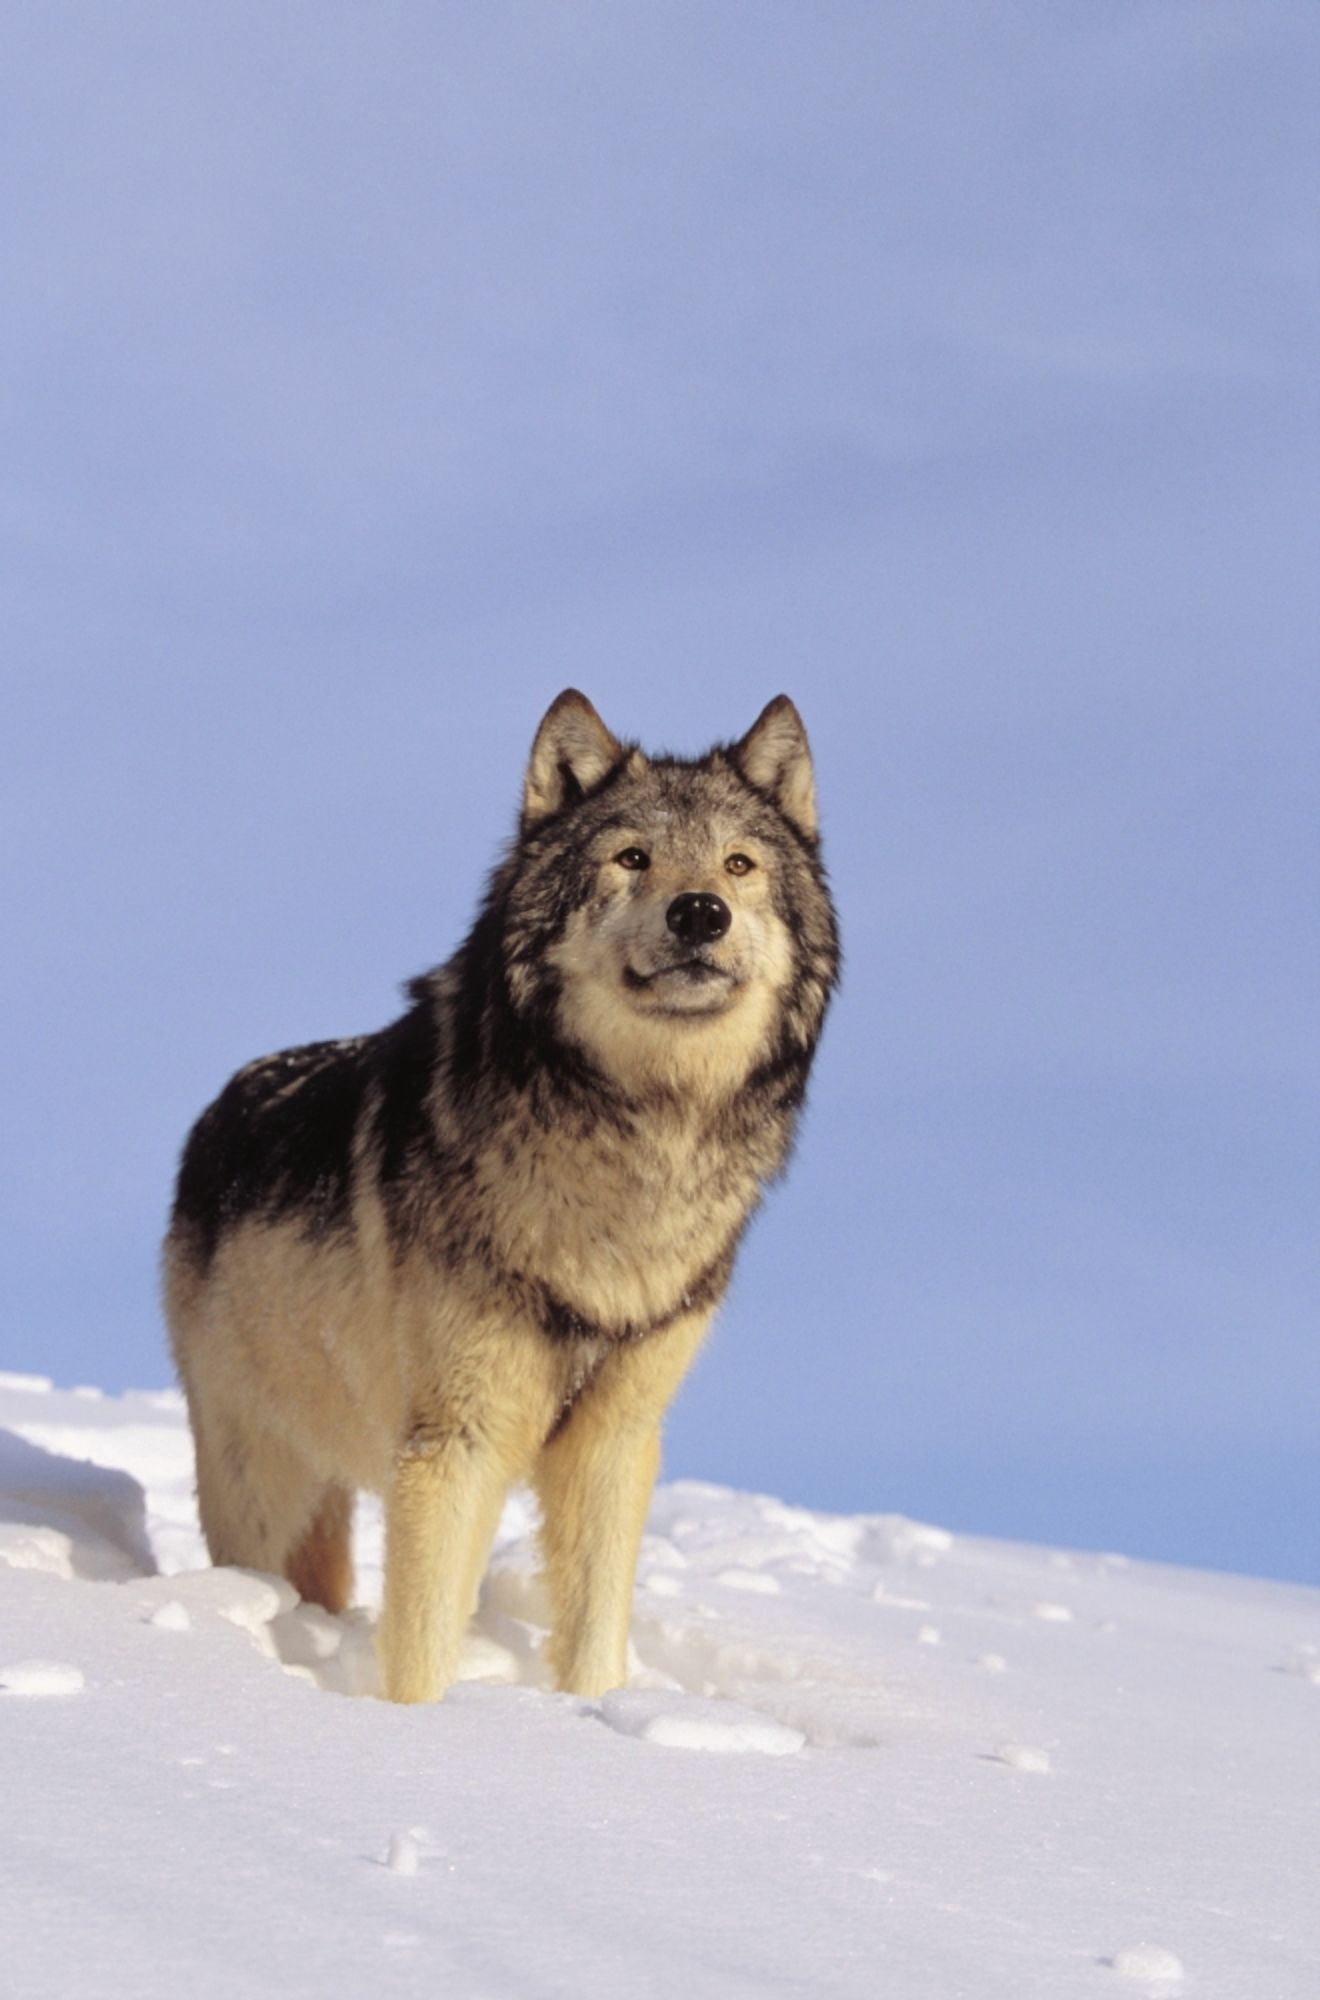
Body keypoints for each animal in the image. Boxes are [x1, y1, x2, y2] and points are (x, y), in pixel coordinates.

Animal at [163, 691, 838, 1703]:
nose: (700, 913)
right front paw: (422, 1729)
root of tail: (222, 1107)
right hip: (262, 1486)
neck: (636, 1141)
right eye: (631, 858)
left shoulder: (616, 1443)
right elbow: (420, 1644)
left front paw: (592, 1716)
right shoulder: (457, 1444)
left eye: (738, 864)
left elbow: (593, 1631)